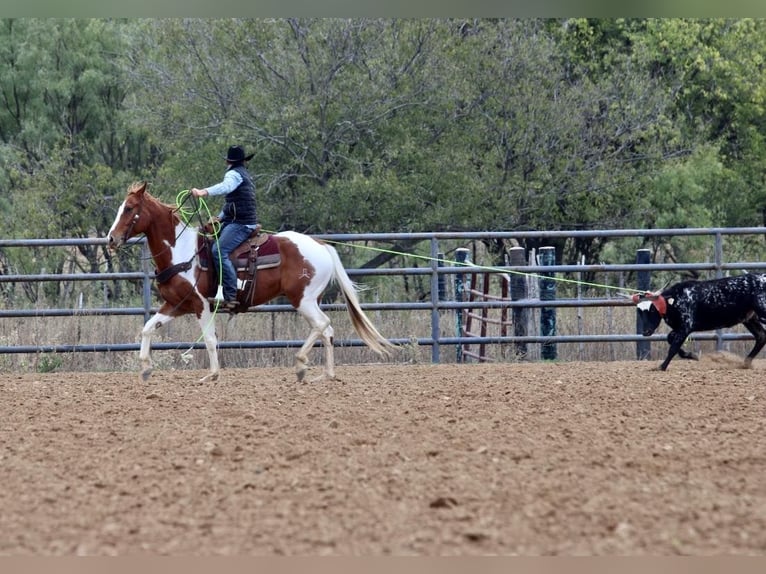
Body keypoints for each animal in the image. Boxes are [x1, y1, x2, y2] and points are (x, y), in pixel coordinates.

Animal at [108, 182, 396, 384]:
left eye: (130, 208)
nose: (111, 239)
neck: (182, 251)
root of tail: (321, 245)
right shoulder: (176, 304)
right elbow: (147, 329)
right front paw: (146, 368)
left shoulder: (202, 305)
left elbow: (210, 339)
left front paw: (211, 375)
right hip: (311, 300)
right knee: (327, 331)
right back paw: (325, 374)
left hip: (302, 299)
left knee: (323, 324)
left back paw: (301, 362)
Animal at [632, 274, 766, 374]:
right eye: (639, 312)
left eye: (652, 310)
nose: (646, 332)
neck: (675, 300)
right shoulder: (679, 328)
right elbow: (670, 339)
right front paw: (691, 355)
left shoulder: (686, 327)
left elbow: (673, 347)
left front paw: (661, 367)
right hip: (750, 319)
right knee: (761, 336)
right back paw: (745, 363)